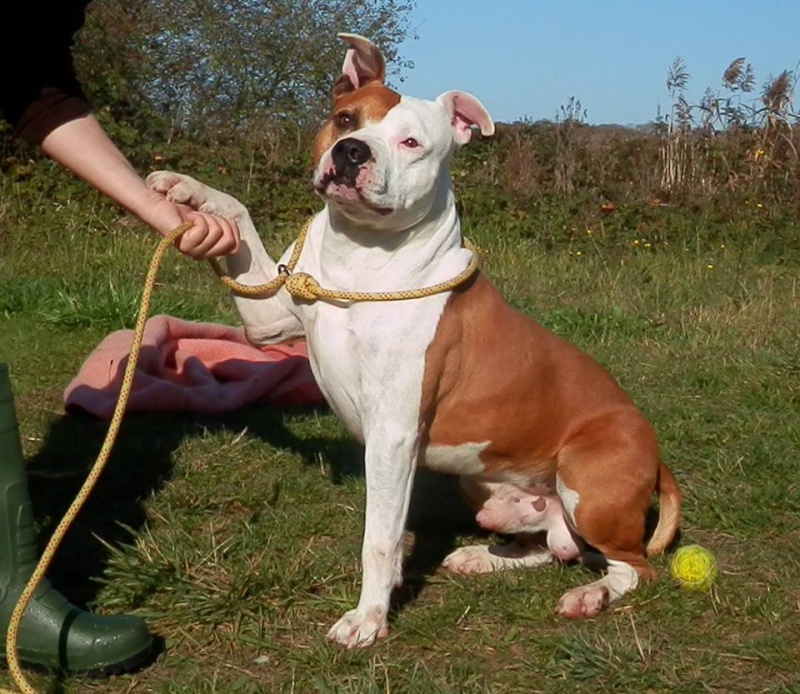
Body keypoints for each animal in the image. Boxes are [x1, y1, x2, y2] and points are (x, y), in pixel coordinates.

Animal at [145, 34, 680, 652]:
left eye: (411, 142)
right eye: (345, 119)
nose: (352, 152)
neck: (361, 256)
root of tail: (657, 455)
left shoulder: (393, 434)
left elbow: (378, 538)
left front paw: (368, 618)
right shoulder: (271, 318)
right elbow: (239, 216)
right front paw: (188, 190)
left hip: (587, 484)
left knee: (631, 566)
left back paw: (590, 596)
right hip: (485, 485)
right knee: (554, 546)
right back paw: (484, 556)